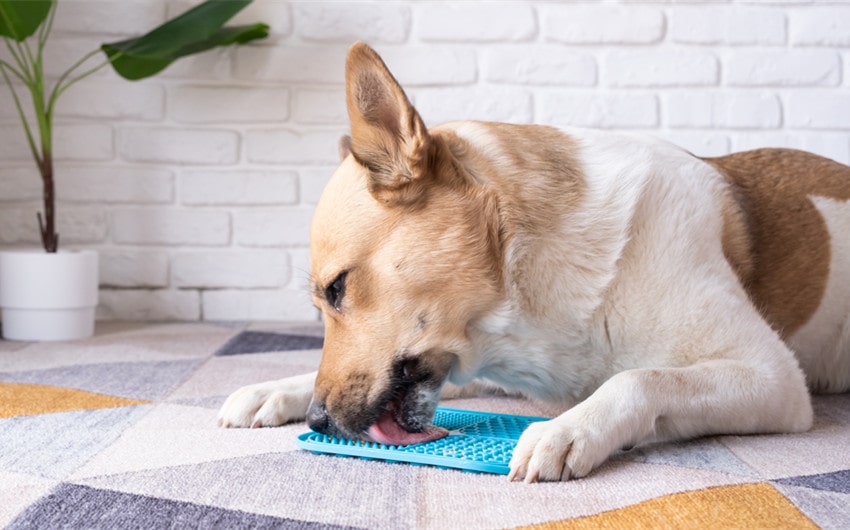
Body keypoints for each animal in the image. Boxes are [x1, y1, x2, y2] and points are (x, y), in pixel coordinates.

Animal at [220, 41, 848, 478]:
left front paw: (569, 429)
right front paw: (273, 389)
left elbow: (640, 378)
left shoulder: (773, 377)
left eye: (336, 289)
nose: (319, 422)